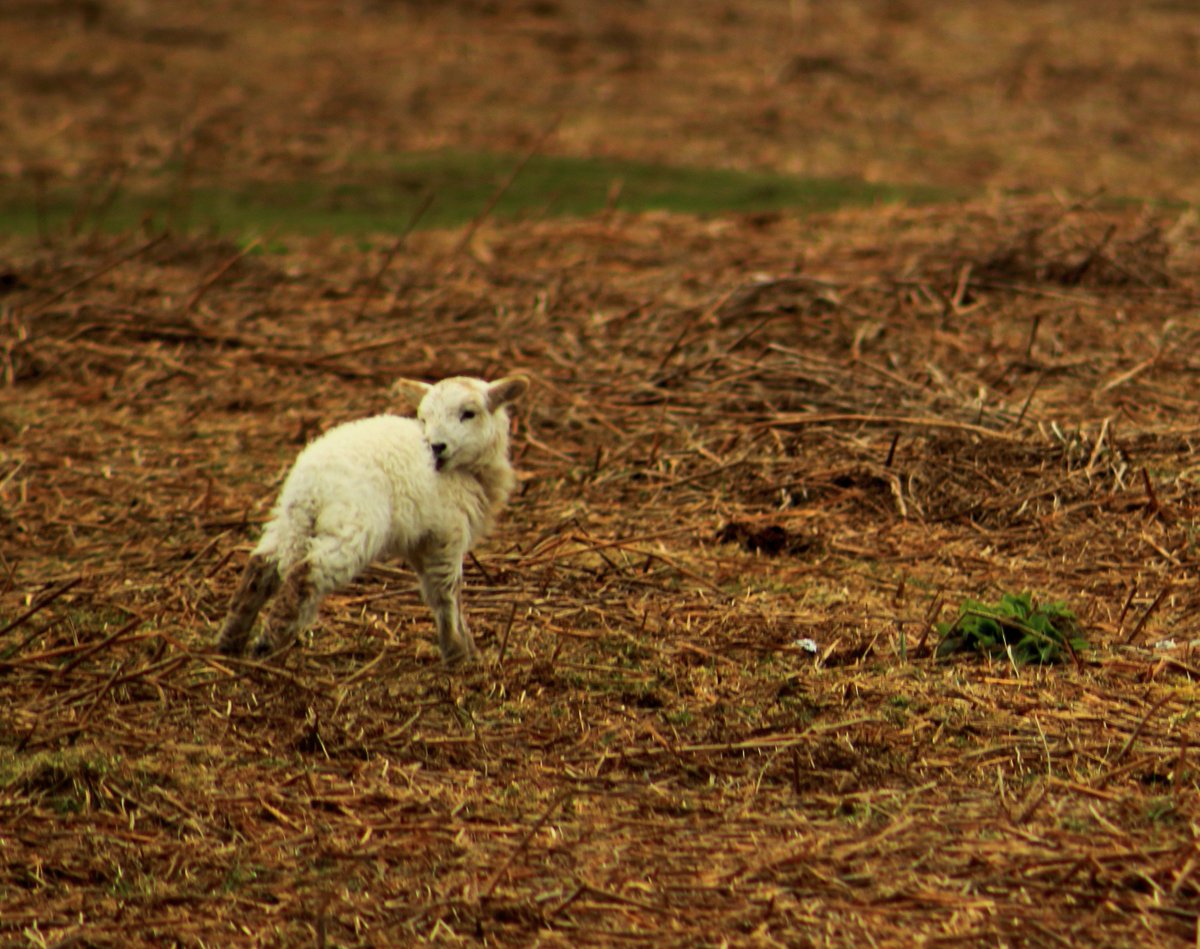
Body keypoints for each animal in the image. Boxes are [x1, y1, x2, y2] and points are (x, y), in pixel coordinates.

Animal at [216, 373, 529, 664]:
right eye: (424, 417)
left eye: (468, 413)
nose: (436, 446)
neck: (469, 471)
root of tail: (312, 481)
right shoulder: (447, 532)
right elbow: (447, 593)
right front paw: (458, 653)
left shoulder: (421, 539)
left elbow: (435, 591)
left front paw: (465, 646)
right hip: (353, 524)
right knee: (304, 574)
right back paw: (266, 645)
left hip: (292, 521)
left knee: (262, 566)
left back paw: (230, 641)